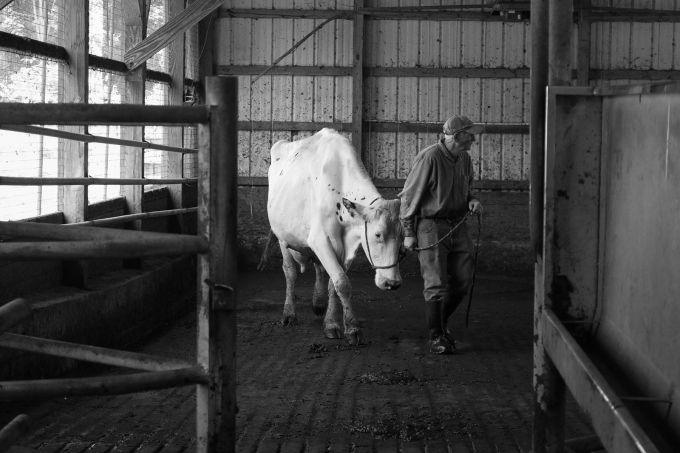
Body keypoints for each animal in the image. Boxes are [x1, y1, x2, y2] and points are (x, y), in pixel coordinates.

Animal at [266, 129, 404, 344]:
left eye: (402, 236)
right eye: (378, 234)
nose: (392, 283)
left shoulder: (348, 247)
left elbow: (335, 283)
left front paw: (333, 322)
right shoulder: (320, 240)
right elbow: (342, 282)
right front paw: (351, 328)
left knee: (320, 269)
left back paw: (319, 304)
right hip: (282, 236)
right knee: (290, 272)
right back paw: (289, 314)